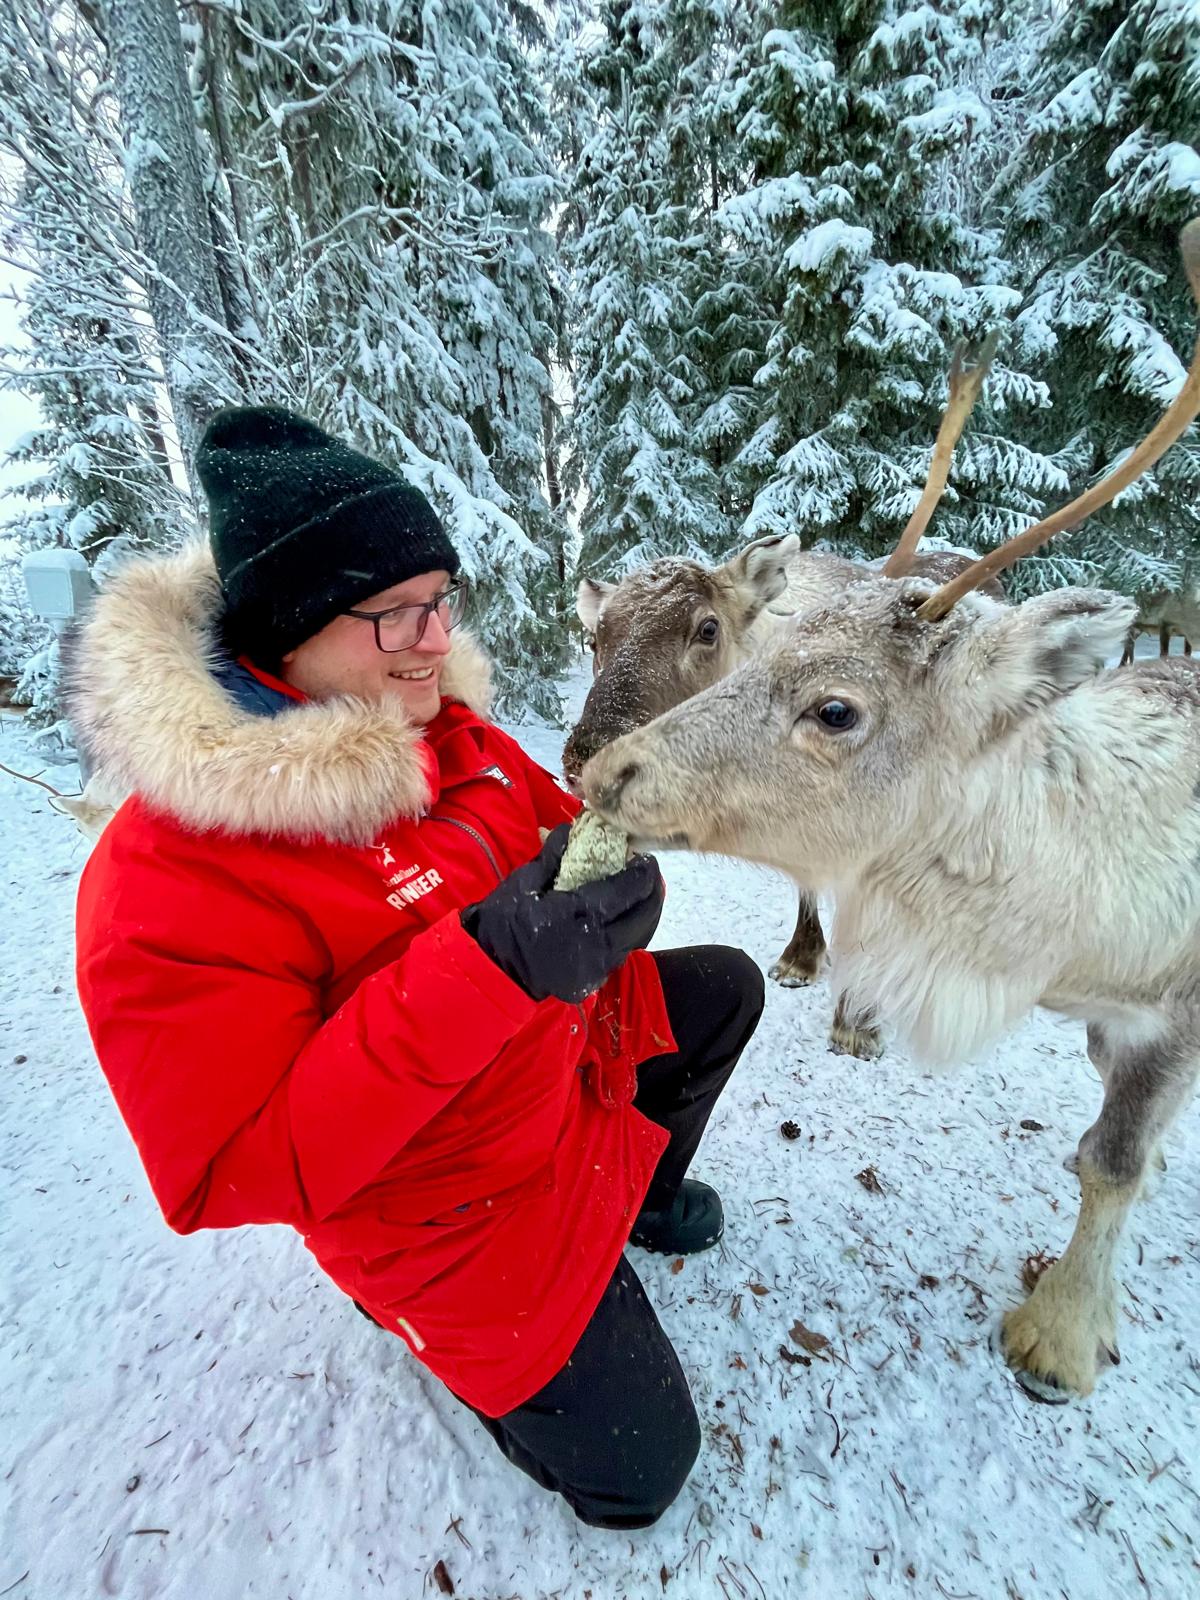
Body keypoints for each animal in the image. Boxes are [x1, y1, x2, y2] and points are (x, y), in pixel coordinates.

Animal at [579, 219, 1200, 1404]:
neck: (1058, 941)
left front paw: (1061, 1333)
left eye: (836, 708)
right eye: (593, 634)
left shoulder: (1169, 1011)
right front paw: (829, 983)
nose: (602, 766)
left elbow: (1112, 1161)